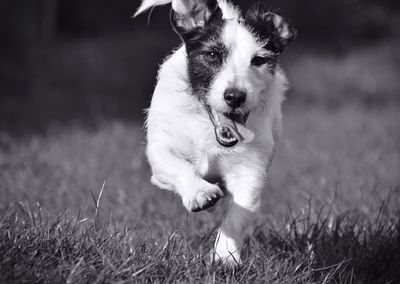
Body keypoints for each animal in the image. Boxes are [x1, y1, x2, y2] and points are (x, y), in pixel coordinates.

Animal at [136, 0, 296, 266]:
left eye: (259, 60)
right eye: (212, 55)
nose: (235, 96)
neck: (207, 130)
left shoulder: (250, 169)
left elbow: (239, 211)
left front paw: (225, 256)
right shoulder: (161, 150)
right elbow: (178, 164)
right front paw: (200, 193)